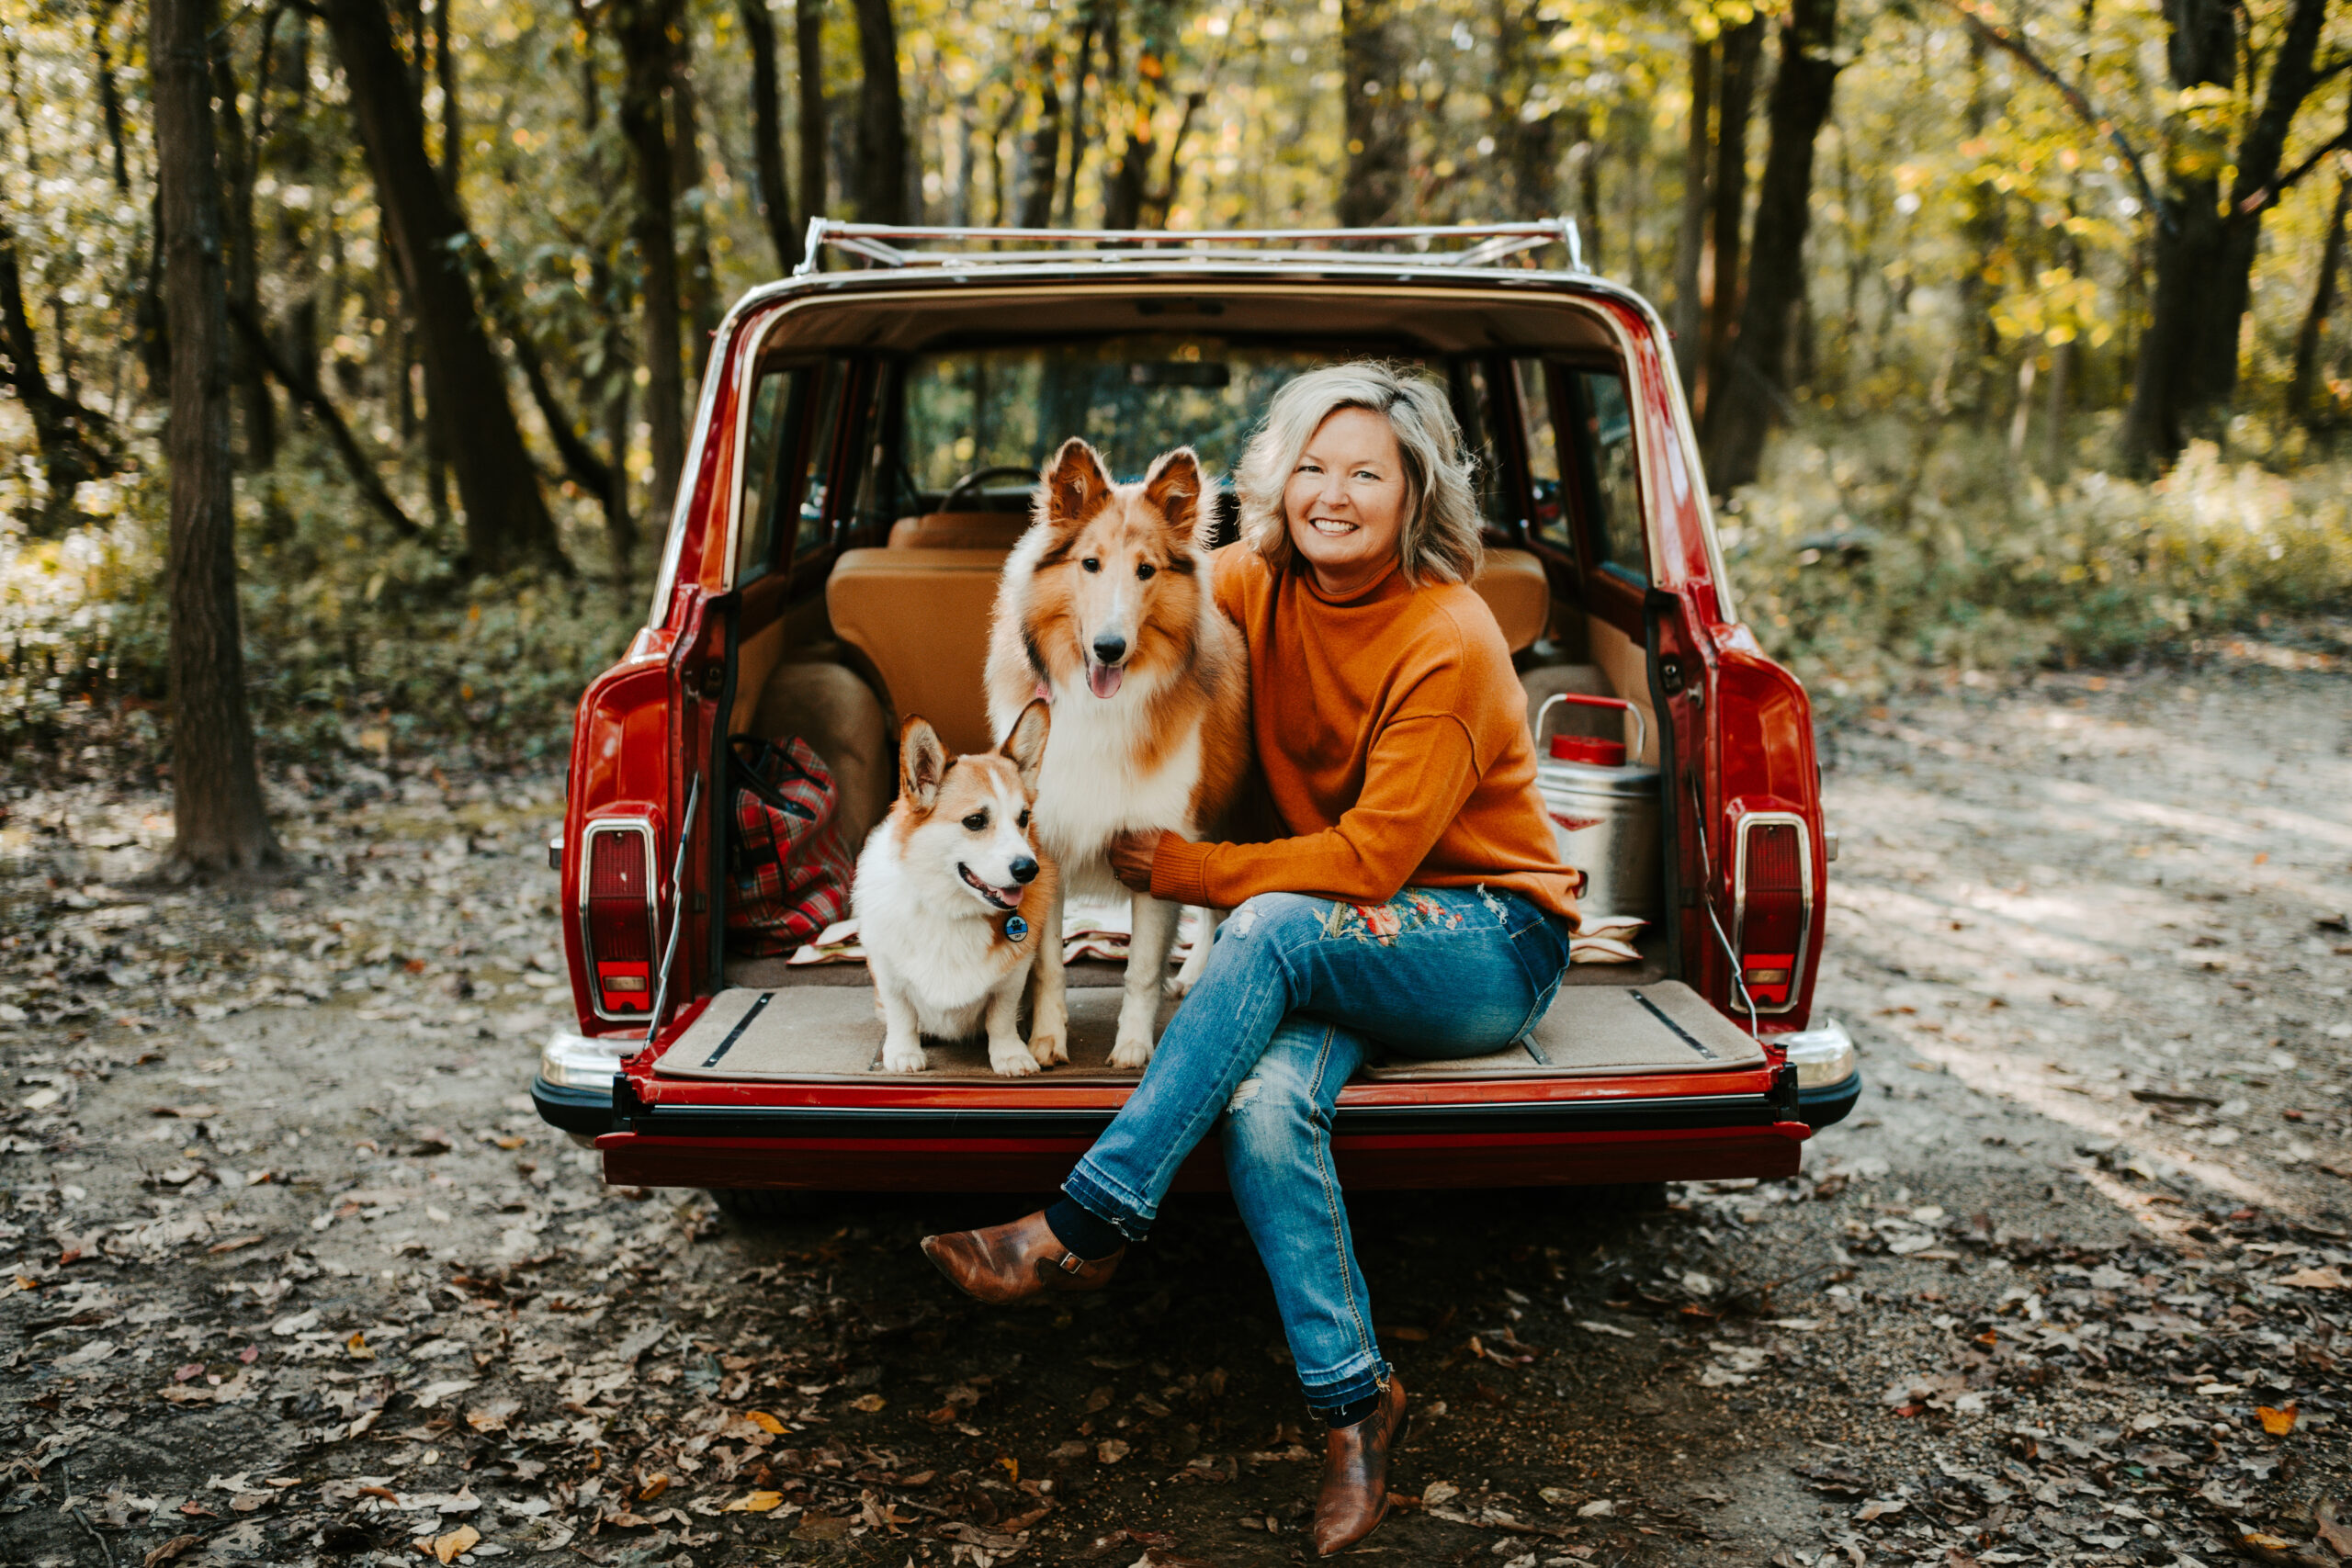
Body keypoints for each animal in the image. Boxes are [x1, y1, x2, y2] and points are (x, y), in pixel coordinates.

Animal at [855, 700, 1058, 1081]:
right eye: (975, 821)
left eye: (1023, 818)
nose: (1028, 870)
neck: (953, 910)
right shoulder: (888, 973)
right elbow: (901, 1014)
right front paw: (903, 1053)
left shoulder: (1012, 979)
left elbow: (1001, 1018)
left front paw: (1010, 1055)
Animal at [988, 442, 1261, 1081]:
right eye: (1090, 564)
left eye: (1146, 571)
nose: (1109, 649)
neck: (1100, 704)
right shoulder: (1046, 847)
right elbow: (1050, 965)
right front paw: (1047, 1041)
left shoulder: (1155, 842)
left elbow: (1140, 967)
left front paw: (1134, 1048)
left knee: (1215, 899)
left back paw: (1195, 973)